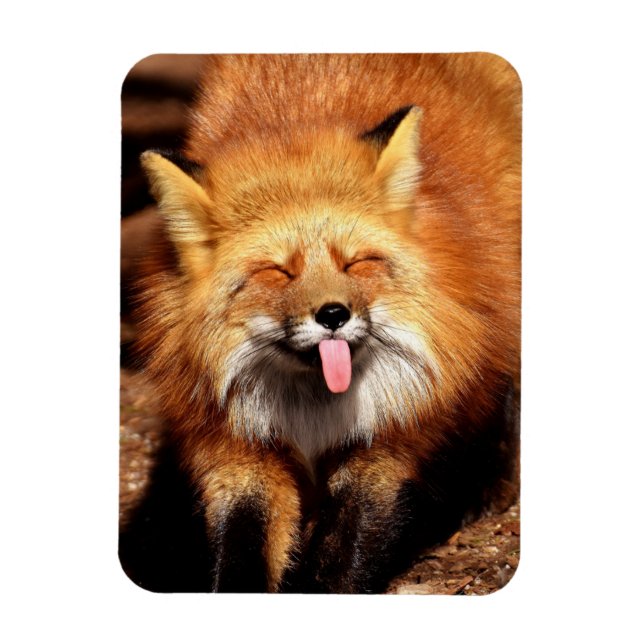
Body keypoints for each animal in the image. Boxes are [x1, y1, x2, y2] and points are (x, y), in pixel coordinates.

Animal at [130, 53, 521, 593]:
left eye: (355, 263)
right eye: (278, 271)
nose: (333, 314)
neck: (313, 412)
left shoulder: (388, 441)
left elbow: (346, 551)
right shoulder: (237, 449)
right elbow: (243, 544)